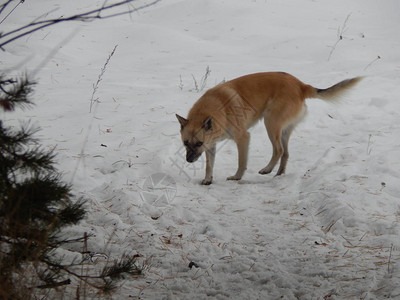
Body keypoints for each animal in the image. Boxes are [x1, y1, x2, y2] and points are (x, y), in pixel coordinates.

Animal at [177, 72, 360, 185]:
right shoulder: (211, 145)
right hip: (283, 130)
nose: (189, 160)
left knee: (279, 150)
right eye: (185, 143)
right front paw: (208, 180)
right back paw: (278, 174)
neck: (216, 108)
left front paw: (237, 177)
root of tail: (301, 85)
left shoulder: (242, 138)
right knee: (286, 153)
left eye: (198, 143)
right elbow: (209, 165)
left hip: (270, 123)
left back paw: (267, 169)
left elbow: (241, 162)